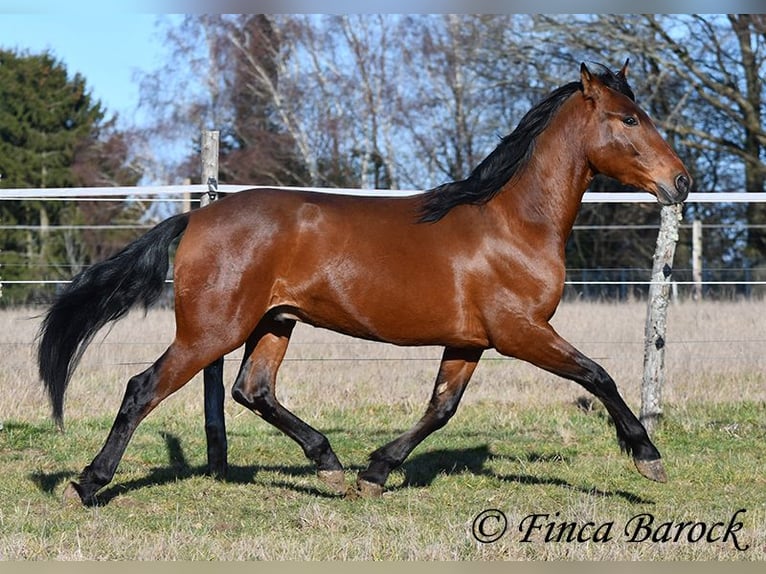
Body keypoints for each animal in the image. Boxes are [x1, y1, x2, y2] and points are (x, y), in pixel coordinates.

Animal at [37, 62, 691, 505]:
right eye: (629, 119)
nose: (681, 182)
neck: (513, 222)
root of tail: (198, 216)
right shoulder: (521, 331)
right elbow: (598, 375)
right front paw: (648, 458)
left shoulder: (469, 341)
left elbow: (440, 409)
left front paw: (374, 472)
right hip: (211, 331)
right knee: (143, 388)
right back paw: (87, 485)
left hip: (273, 323)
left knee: (253, 391)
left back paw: (329, 465)